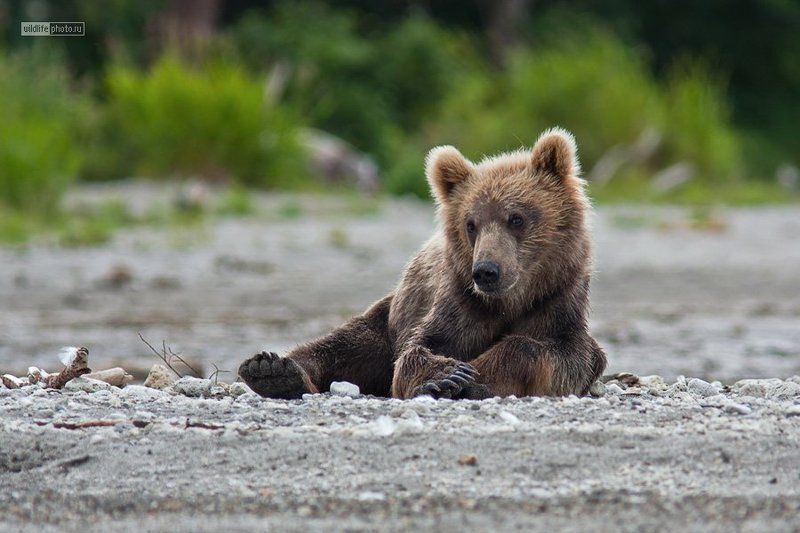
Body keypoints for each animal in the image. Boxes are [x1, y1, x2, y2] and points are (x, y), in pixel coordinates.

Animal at [238, 128, 607, 400]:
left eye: (516, 218)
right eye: (471, 224)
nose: (486, 271)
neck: (510, 301)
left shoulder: (557, 302)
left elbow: (559, 354)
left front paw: (476, 379)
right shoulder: (458, 304)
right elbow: (420, 348)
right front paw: (446, 376)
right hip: (389, 315)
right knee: (345, 344)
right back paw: (272, 370)